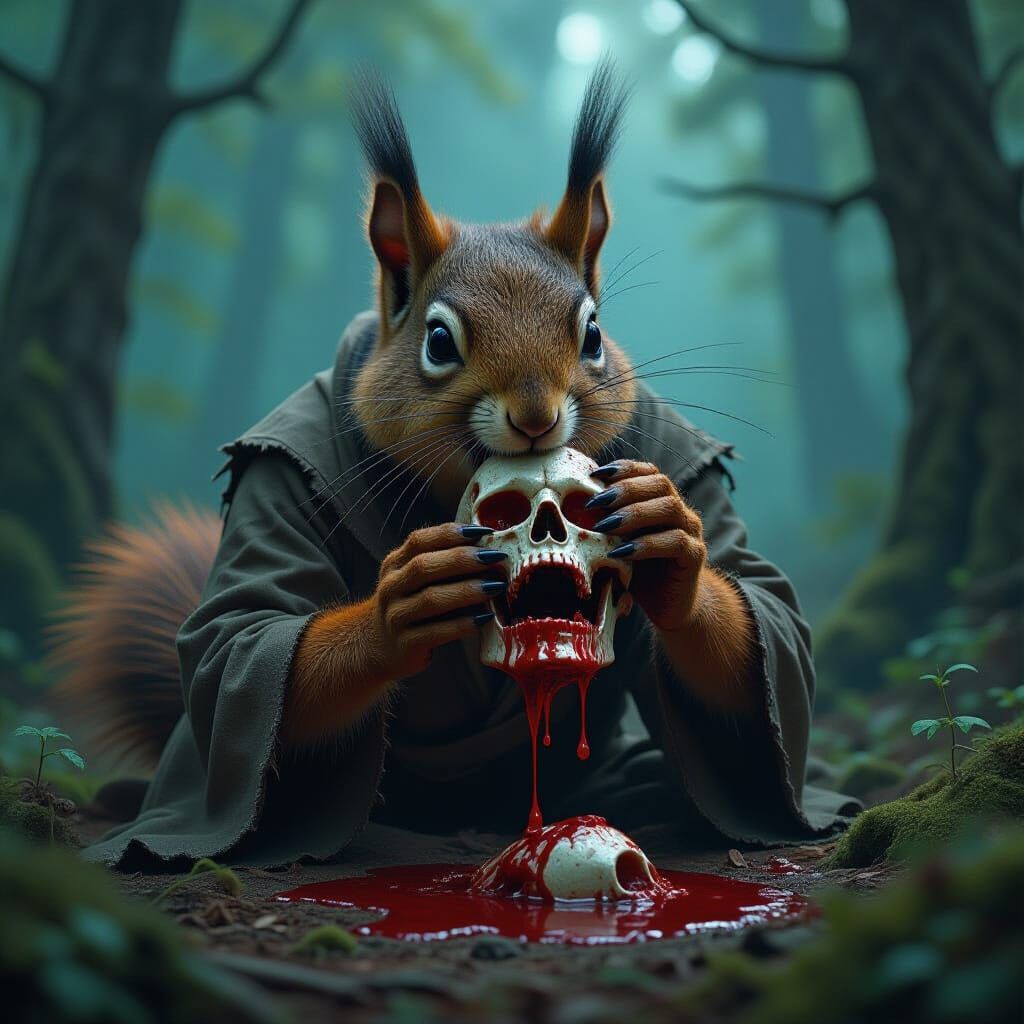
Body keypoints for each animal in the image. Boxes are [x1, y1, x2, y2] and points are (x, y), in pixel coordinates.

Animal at [52, 61, 757, 768]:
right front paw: (403, 602)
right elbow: (236, 653)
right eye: (439, 341)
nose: (536, 417)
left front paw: (670, 532)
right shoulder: (276, 474)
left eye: (592, 334)